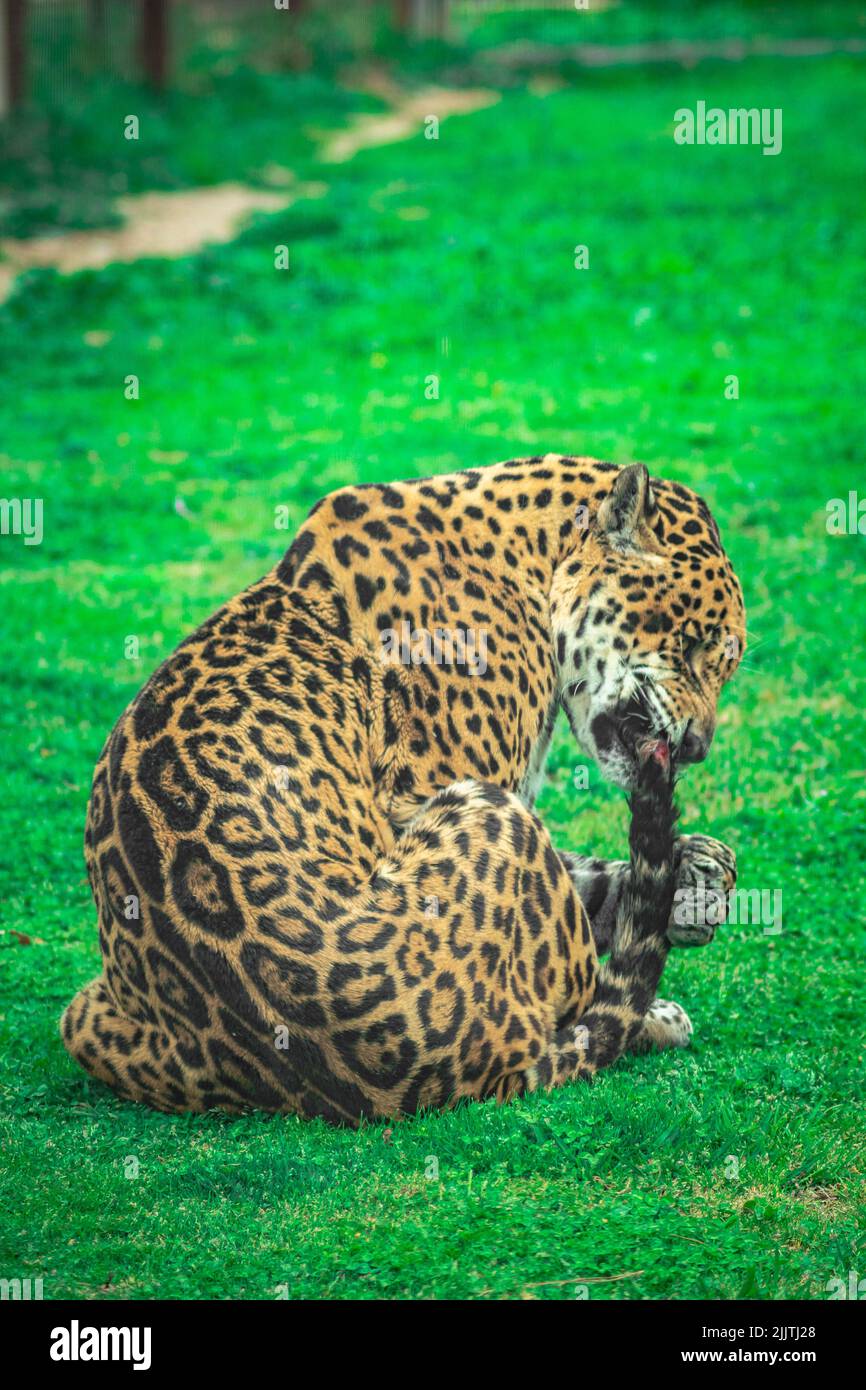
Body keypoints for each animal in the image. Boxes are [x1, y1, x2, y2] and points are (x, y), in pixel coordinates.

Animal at [61, 455, 745, 1123]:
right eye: (690, 645)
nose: (697, 746)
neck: (538, 554)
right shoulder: (427, 790)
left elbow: (587, 884)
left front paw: (700, 878)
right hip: (489, 810)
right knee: (569, 1008)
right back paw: (652, 1018)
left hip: (83, 1014)